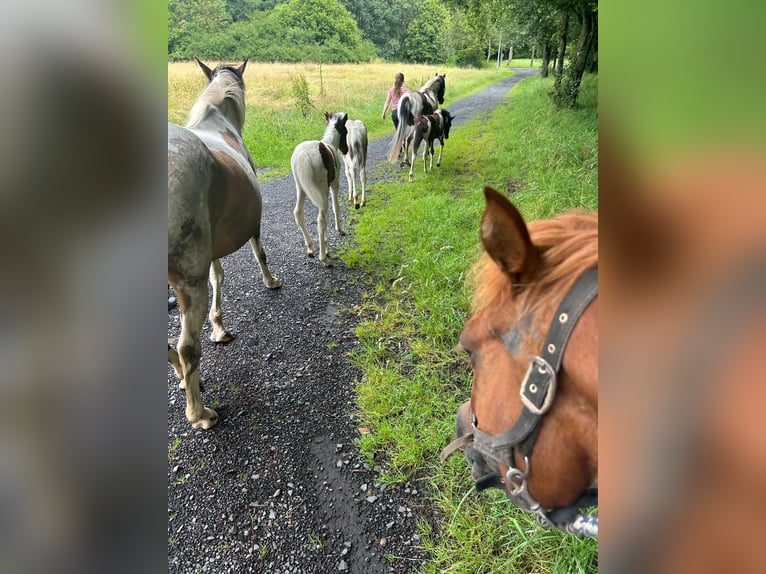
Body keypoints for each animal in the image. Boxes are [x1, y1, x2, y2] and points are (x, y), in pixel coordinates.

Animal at [168, 58, 282, 430]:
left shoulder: (212, 248)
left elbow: (218, 276)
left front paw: (219, 326)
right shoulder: (252, 228)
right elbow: (260, 253)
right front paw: (271, 282)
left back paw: (186, 378)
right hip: (188, 278)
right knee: (188, 347)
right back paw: (200, 413)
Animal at [292, 112, 352, 268]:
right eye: (346, 131)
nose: (346, 150)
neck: (330, 143)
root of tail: (303, 157)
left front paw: (326, 246)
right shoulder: (334, 184)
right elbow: (336, 207)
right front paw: (339, 230)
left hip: (301, 188)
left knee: (298, 213)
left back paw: (311, 248)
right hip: (321, 191)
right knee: (321, 220)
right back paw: (324, 258)